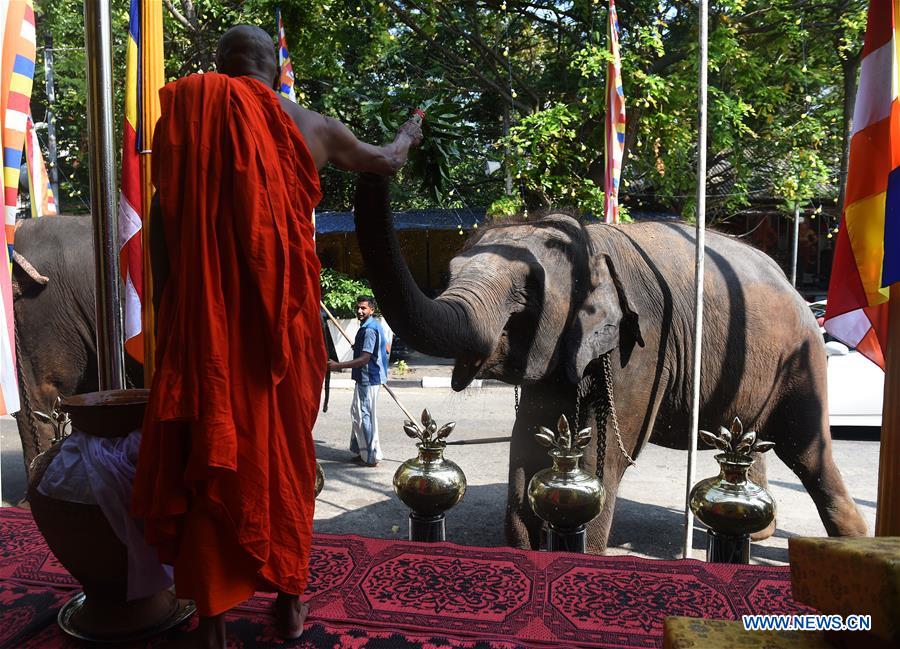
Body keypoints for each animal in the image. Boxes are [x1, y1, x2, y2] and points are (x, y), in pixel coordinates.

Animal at [353, 174, 868, 551]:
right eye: (451, 274)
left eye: (525, 294)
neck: (587, 239)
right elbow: (528, 439)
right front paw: (526, 550)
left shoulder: (639, 344)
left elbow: (603, 456)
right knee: (755, 438)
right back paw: (756, 530)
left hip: (802, 360)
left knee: (807, 448)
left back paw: (852, 542)